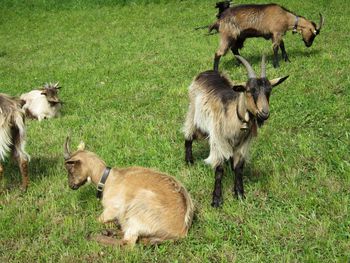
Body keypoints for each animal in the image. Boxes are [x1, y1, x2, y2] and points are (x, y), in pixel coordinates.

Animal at [63, 137, 194, 249]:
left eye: (70, 169)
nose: (71, 185)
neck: (108, 180)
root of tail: (181, 231)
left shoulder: (112, 209)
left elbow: (96, 220)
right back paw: (109, 231)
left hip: (137, 211)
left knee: (128, 244)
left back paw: (94, 236)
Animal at [183, 55, 288, 208]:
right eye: (250, 90)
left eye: (269, 90)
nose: (264, 113)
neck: (235, 116)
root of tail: (208, 72)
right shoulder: (219, 140)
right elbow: (219, 170)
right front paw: (216, 200)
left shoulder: (243, 144)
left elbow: (239, 168)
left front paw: (239, 194)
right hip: (193, 112)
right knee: (188, 133)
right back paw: (189, 160)